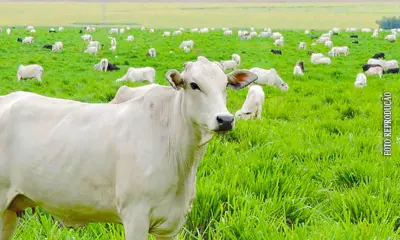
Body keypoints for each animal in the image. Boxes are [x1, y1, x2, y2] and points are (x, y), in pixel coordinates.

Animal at [0, 56, 258, 240]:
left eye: (226, 85)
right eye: (194, 85)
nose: (225, 119)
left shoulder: (172, 225)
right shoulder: (135, 216)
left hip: (10, 210)